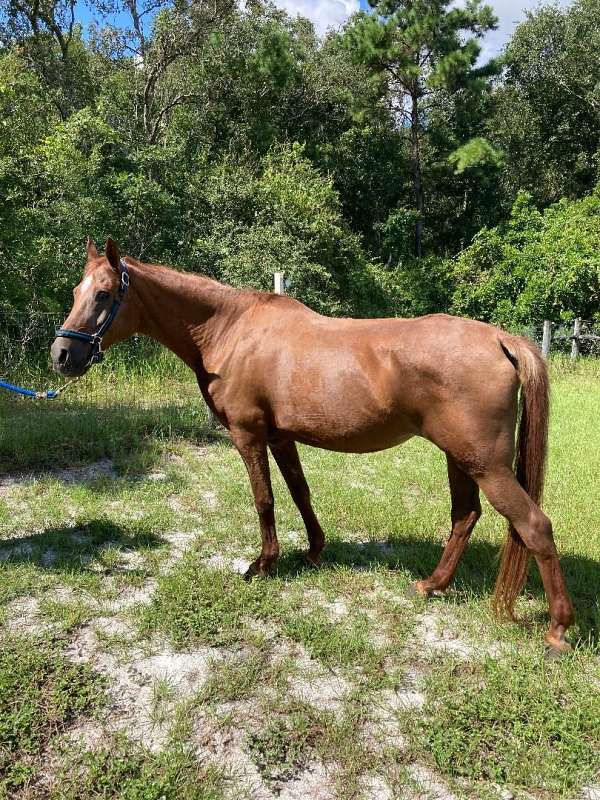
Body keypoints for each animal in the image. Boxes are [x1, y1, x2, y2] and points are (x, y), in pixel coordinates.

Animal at [51, 237, 574, 653]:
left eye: (103, 294)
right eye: (76, 291)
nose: (61, 354)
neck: (230, 330)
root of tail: (500, 339)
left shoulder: (248, 434)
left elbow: (264, 499)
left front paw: (263, 565)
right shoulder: (281, 437)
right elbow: (300, 492)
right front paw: (314, 551)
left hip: (486, 465)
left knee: (534, 526)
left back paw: (557, 630)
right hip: (460, 458)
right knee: (464, 516)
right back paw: (432, 585)